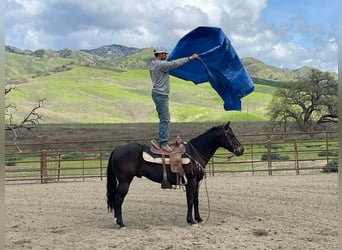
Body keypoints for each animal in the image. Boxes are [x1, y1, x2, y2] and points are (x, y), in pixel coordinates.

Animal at [107, 121, 243, 229]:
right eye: (231, 135)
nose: (241, 150)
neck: (195, 152)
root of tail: (116, 150)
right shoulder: (191, 181)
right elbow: (190, 200)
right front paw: (191, 221)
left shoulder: (197, 182)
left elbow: (196, 200)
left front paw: (199, 218)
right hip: (125, 182)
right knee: (118, 199)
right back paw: (121, 223)